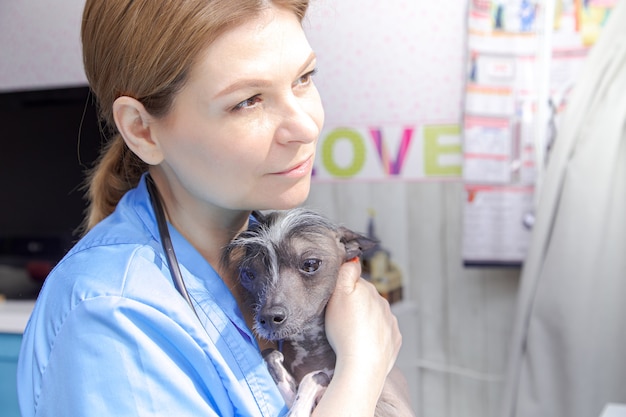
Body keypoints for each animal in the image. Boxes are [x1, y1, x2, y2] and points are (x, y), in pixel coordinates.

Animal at [221, 206, 414, 414]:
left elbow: (312, 378)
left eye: (311, 264)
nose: (269, 318)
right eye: (248, 274)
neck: (308, 345)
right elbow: (273, 359)